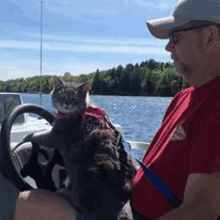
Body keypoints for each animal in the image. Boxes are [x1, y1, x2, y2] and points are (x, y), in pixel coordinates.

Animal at [25, 76, 136, 220]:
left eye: (74, 98)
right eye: (62, 95)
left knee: (79, 202)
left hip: (86, 176)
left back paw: (64, 191)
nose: (66, 104)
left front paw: (28, 136)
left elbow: (40, 136)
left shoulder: (56, 135)